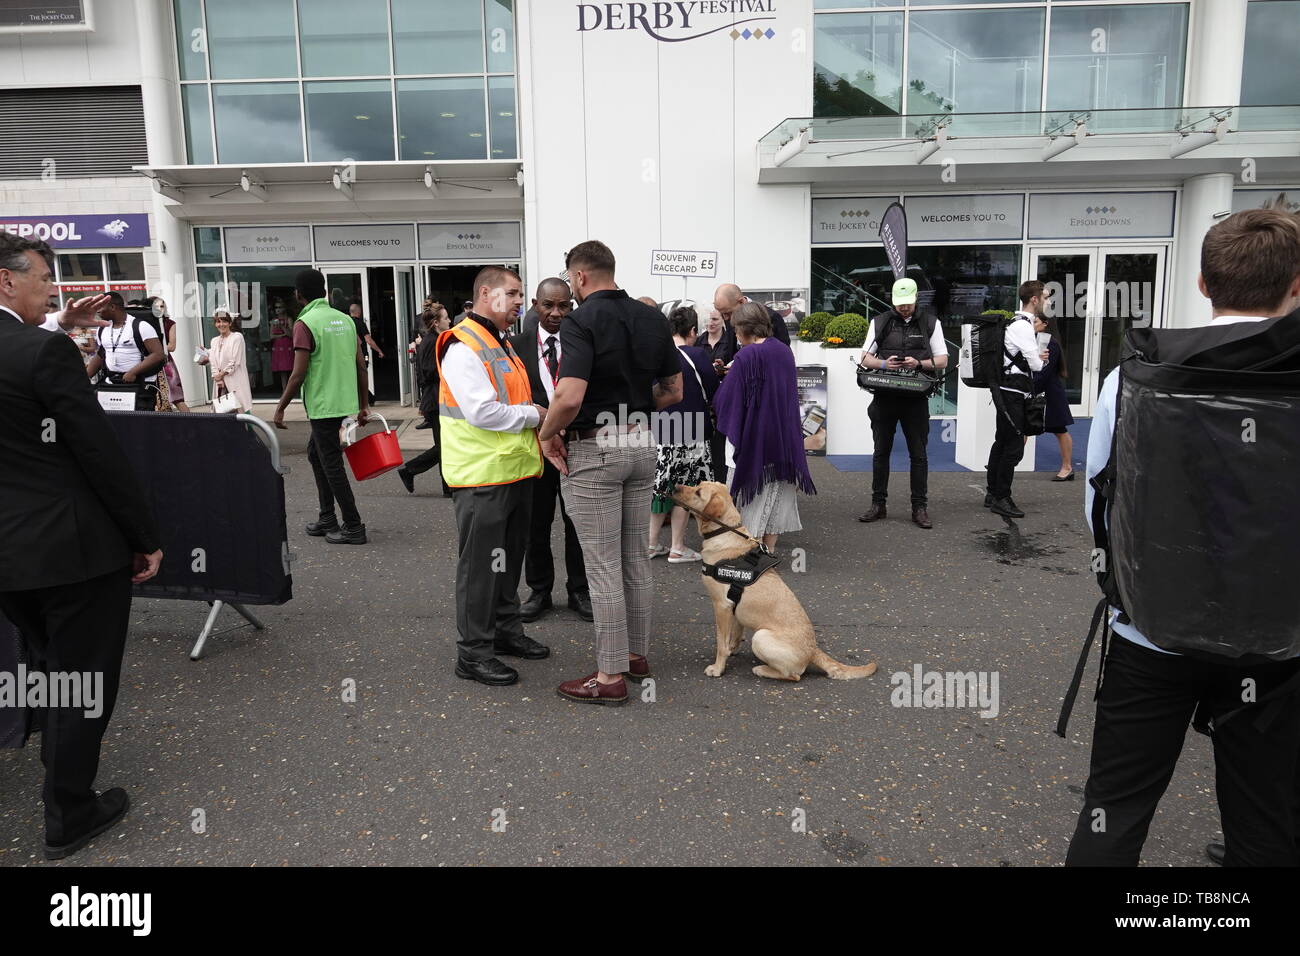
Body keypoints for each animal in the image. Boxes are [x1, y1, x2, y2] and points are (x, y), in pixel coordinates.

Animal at [676, 486, 878, 681]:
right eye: (696, 485)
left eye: (698, 492)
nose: (675, 487)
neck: (725, 531)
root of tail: (813, 650)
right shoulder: (733, 607)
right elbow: (735, 635)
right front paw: (732, 650)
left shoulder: (721, 606)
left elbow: (720, 643)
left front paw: (718, 668)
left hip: (760, 637)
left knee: (794, 676)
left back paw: (762, 669)